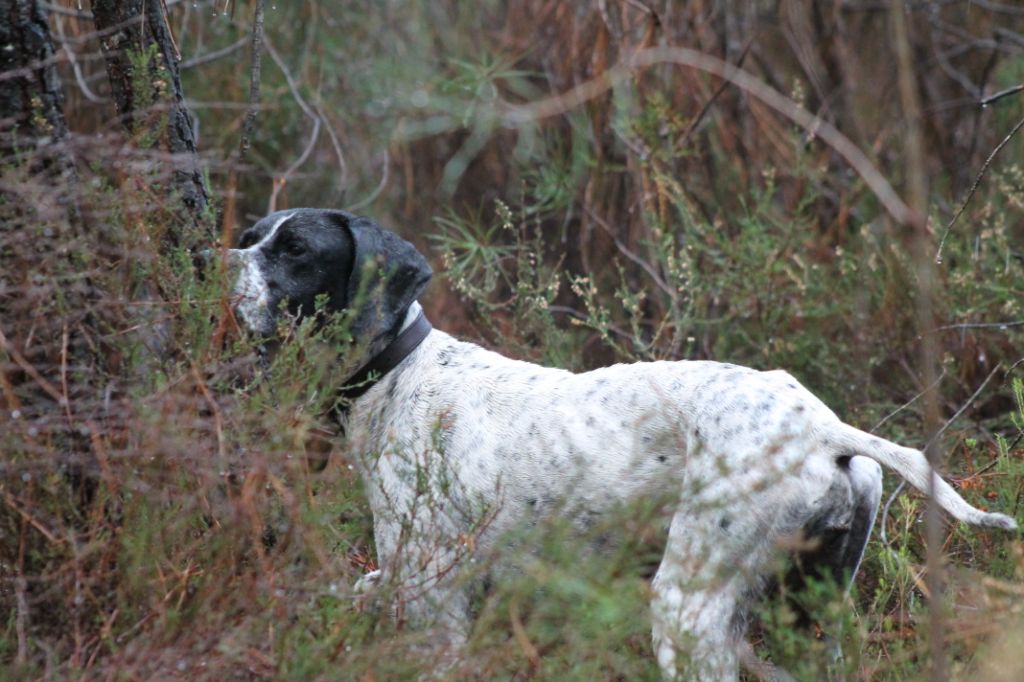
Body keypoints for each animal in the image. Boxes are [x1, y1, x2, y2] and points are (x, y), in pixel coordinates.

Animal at [226, 208, 1015, 679]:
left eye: (295, 248)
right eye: (250, 237)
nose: (218, 262)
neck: (400, 372)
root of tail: (824, 427)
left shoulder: (431, 598)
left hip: (688, 607)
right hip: (807, 614)